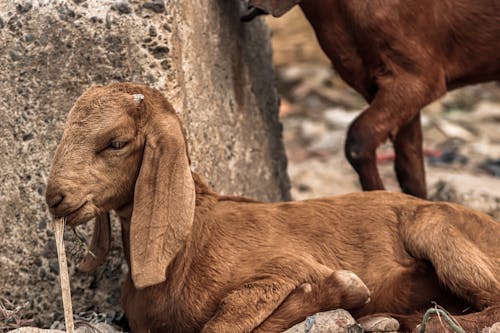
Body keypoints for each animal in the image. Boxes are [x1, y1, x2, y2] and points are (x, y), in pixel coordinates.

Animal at [45, 83, 498, 332]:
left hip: (433, 228)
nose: (55, 197)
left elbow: (222, 323)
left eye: (116, 142)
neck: (188, 244)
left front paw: (345, 290)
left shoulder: (285, 268)